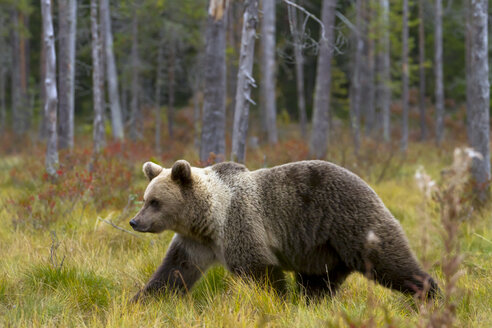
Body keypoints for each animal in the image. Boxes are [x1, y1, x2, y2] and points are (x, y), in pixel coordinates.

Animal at [130, 160, 438, 302]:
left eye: (155, 202)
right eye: (145, 199)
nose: (135, 222)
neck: (209, 218)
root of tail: (367, 183)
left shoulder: (240, 223)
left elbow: (261, 271)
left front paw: (279, 301)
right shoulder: (195, 242)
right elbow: (173, 272)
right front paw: (142, 300)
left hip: (352, 223)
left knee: (390, 261)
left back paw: (430, 292)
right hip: (321, 250)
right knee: (318, 282)